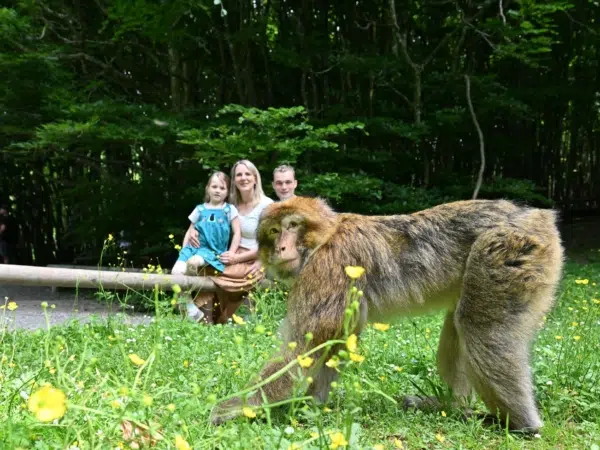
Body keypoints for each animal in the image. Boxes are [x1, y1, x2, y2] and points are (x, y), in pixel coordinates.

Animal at [210, 196, 564, 432]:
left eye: (293, 226)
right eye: (273, 231)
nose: (281, 247)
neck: (325, 238)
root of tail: (538, 216)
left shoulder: (327, 268)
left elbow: (304, 347)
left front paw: (235, 407)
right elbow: (334, 342)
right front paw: (314, 406)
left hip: (508, 250)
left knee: (479, 329)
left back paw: (520, 424)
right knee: (458, 328)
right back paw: (452, 407)